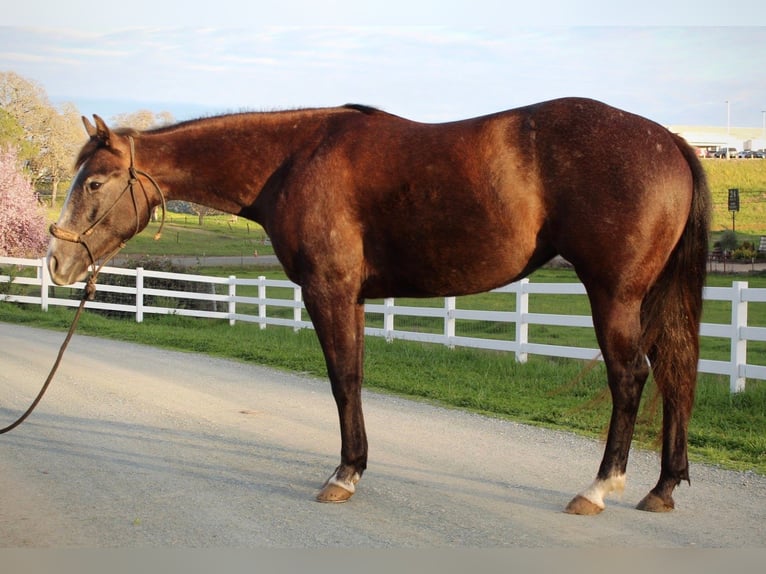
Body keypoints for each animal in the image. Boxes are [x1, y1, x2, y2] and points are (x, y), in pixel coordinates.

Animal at [47, 97, 710, 515]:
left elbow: (343, 379)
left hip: (614, 295)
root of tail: (671, 141)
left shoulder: (329, 291)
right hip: (650, 298)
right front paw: (355, 467)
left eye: (95, 183)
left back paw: (599, 489)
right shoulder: (356, 298)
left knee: (630, 378)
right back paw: (663, 488)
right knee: (675, 374)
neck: (293, 159)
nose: (56, 263)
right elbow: (356, 377)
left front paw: (344, 475)